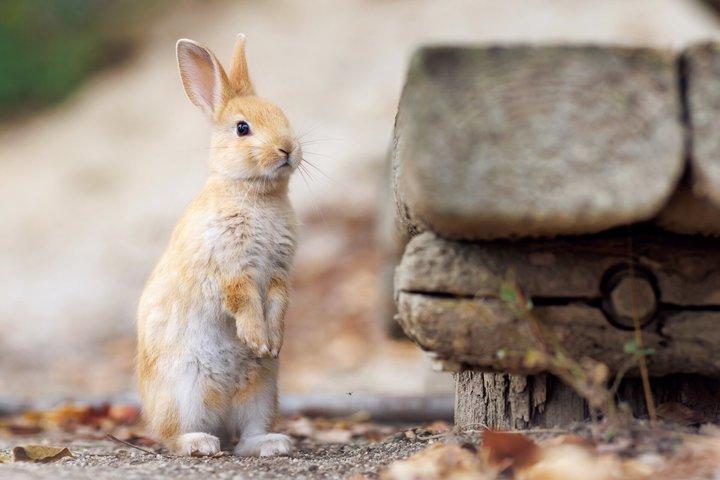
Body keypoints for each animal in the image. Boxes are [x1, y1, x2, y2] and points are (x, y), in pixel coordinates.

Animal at [136, 34, 301, 457]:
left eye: (282, 113)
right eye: (242, 128)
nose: (287, 149)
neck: (252, 193)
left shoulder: (278, 272)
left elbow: (278, 302)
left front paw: (272, 344)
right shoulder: (230, 267)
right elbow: (243, 300)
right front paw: (257, 338)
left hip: (262, 392)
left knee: (246, 436)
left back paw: (273, 444)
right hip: (187, 390)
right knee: (176, 435)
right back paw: (201, 444)